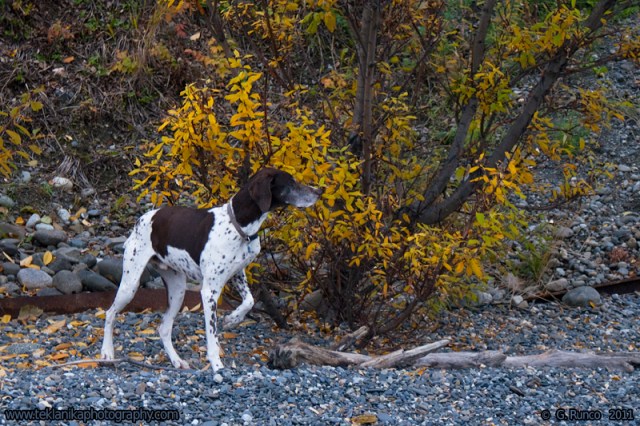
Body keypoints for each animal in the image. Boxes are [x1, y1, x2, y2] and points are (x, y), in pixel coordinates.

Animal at [100, 168, 322, 372]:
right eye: (290, 183)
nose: (319, 191)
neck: (238, 225)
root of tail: (142, 220)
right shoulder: (209, 292)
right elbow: (212, 336)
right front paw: (217, 365)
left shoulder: (238, 274)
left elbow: (249, 301)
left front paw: (233, 319)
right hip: (130, 284)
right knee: (110, 313)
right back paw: (107, 352)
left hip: (178, 291)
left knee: (163, 328)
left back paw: (176, 360)